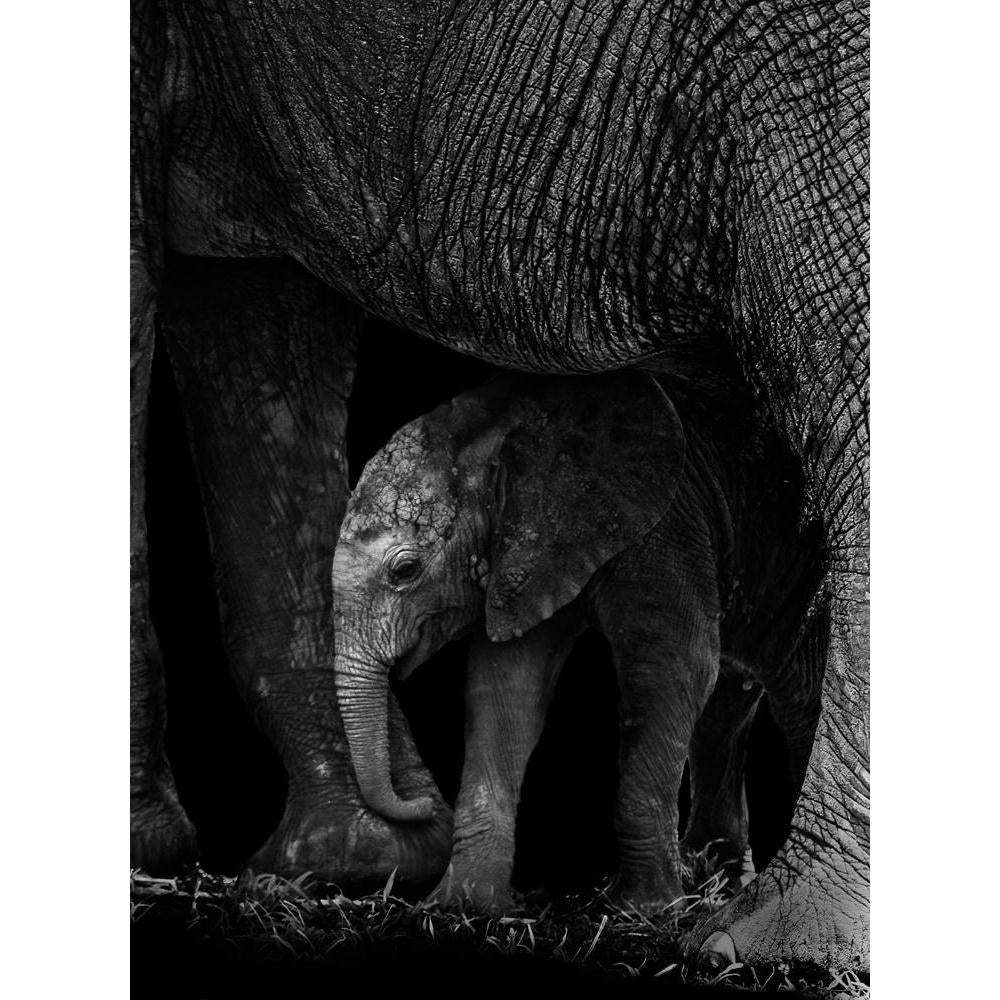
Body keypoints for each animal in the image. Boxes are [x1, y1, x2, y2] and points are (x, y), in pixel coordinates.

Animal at [331, 372, 824, 912]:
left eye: (404, 570)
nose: (420, 803)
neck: (508, 425)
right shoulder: (527, 551)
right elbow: (506, 688)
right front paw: (464, 904)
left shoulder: (668, 524)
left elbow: (673, 669)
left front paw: (644, 909)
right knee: (730, 710)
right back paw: (719, 884)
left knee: (797, 697)